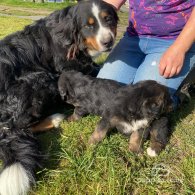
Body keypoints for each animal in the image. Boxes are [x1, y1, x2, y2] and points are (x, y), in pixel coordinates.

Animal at [0, 0, 117, 194]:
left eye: (108, 20)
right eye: (88, 26)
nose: (108, 42)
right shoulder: (69, 71)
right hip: (40, 79)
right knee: (20, 127)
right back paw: (54, 118)